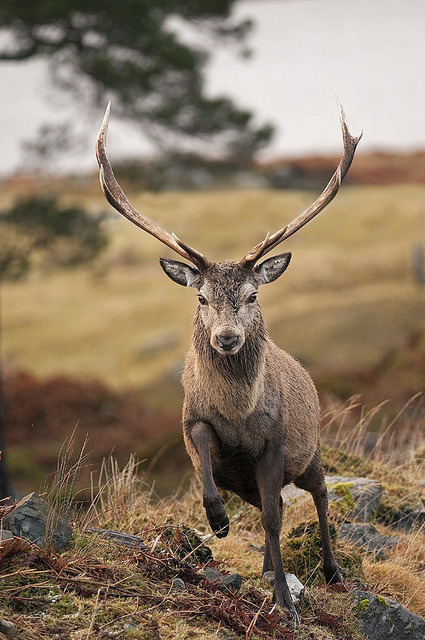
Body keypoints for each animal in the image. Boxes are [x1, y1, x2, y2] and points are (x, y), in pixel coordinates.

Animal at [96, 102, 362, 624]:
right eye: (201, 297)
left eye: (252, 294)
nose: (225, 337)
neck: (239, 416)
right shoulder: (192, 420)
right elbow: (204, 457)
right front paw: (217, 521)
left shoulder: (276, 440)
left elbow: (277, 518)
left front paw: (285, 601)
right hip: (256, 477)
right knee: (273, 504)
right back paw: (265, 565)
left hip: (312, 449)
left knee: (316, 495)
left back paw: (331, 570)